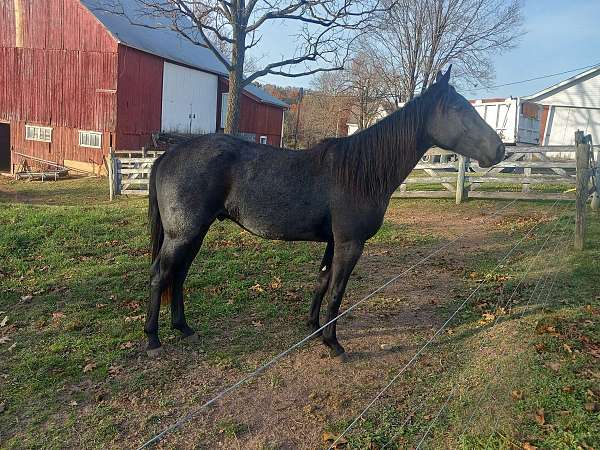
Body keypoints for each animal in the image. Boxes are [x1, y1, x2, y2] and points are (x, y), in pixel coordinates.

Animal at [145, 66, 506, 358]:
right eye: (458, 107)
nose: (500, 149)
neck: (361, 171)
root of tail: (169, 154)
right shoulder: (350, 243)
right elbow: (337, 291)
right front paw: (333, 343)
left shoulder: (334, 242)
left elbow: (322, 282)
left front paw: (313, 328)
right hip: (183, 235)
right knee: (160, 275)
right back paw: (153, 340)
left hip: (194, 234)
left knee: (178, 276)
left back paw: (184, 328)